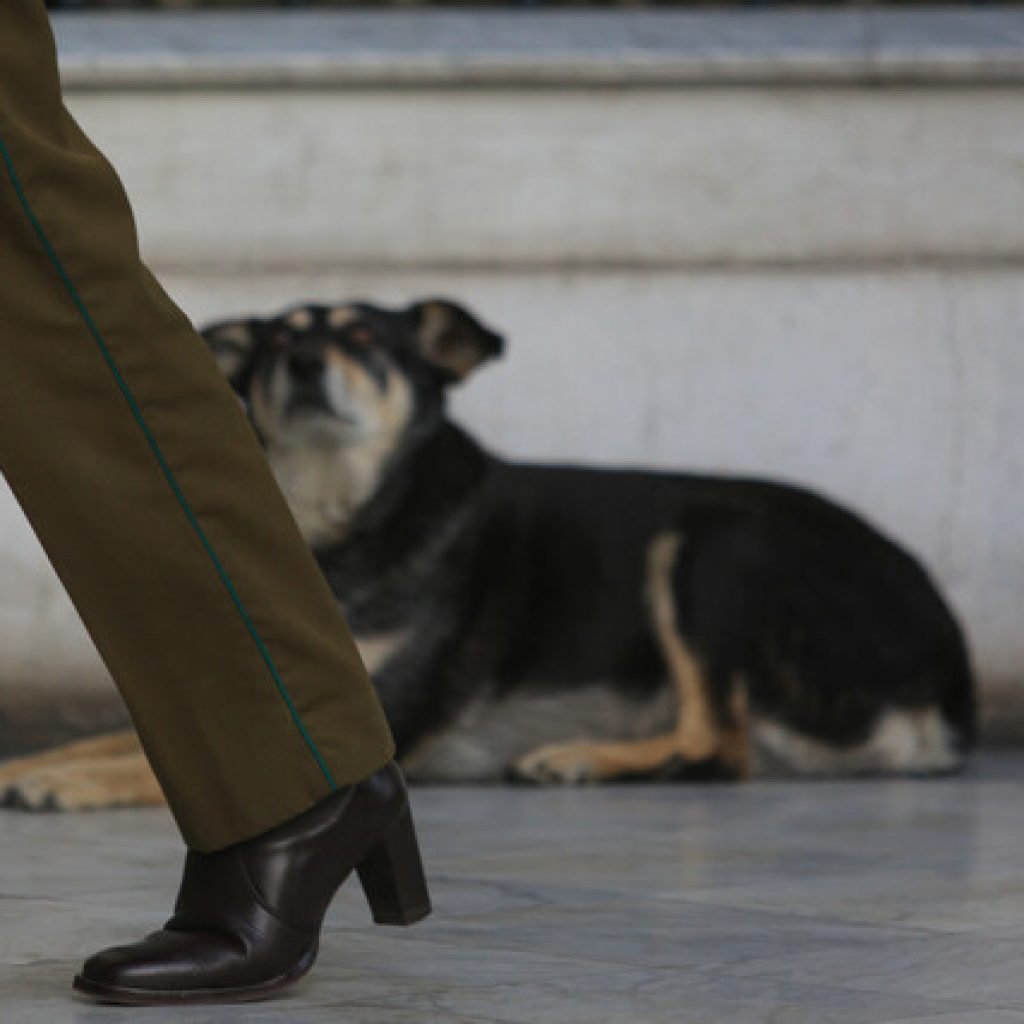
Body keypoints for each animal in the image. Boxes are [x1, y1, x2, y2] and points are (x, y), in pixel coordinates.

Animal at [0, 296, 974, 806]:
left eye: (363, 337)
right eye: (279, 339)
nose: (303, 362)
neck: (344, 521)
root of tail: (949, 674)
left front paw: (66, 788)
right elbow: (109, 740)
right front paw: (29, 767)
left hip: (713, 547)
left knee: (717, 747)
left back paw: (580, 759)